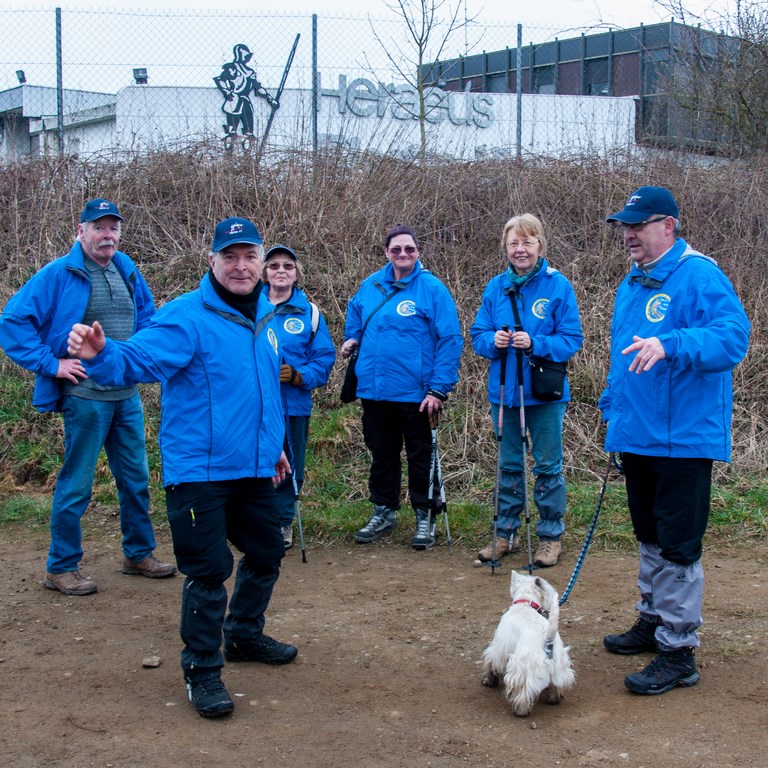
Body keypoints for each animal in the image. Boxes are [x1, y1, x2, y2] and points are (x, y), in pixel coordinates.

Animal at [484, 568, 572, 716]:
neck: (525, 604)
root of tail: (548, 640)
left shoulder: (500, 647)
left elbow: (490, 662)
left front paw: (488, 680)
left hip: (522, 667)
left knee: (523, 692)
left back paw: (520, 711)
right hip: (559, 666)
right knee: (555, 685)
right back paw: (553, 698)